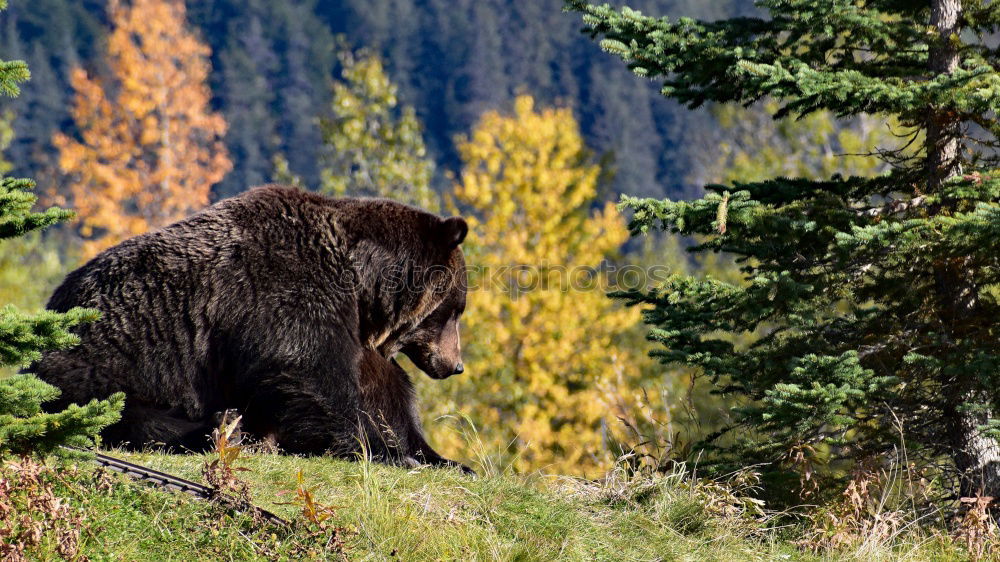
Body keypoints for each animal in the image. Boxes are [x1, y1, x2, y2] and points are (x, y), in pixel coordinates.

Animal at [38, 184, 472, 468]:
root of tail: (52, 305)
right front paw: (377, 450)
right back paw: (223, 428)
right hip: (105, 359)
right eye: (456, 310)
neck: (362, 287)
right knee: (128, 415)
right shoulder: (285, 297)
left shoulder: (359, 339)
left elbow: (388, 399)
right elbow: (313, 378)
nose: (455, 365)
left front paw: (440, 458)